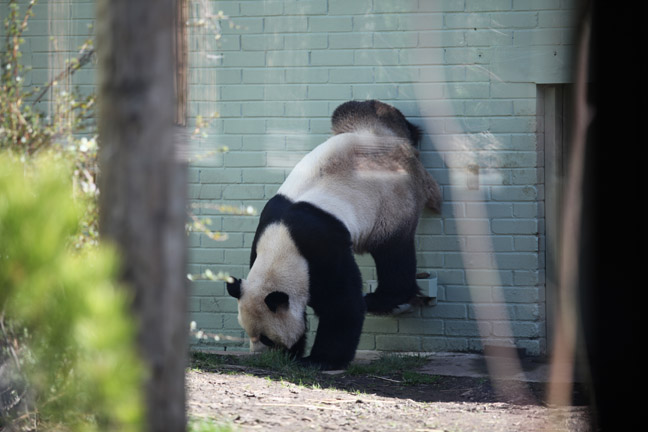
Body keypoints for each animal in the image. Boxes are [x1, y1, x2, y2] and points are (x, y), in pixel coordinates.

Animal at [226, 100, 441, 370]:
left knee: (393, 253)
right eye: (249, 333)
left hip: (392, 204)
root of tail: (399, 146)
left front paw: (319, 360)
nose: (261, 356)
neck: (281, 245)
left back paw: (383, 299)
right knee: (354, 110)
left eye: (266, 338)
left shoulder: (323, 246)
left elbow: (342, 304)